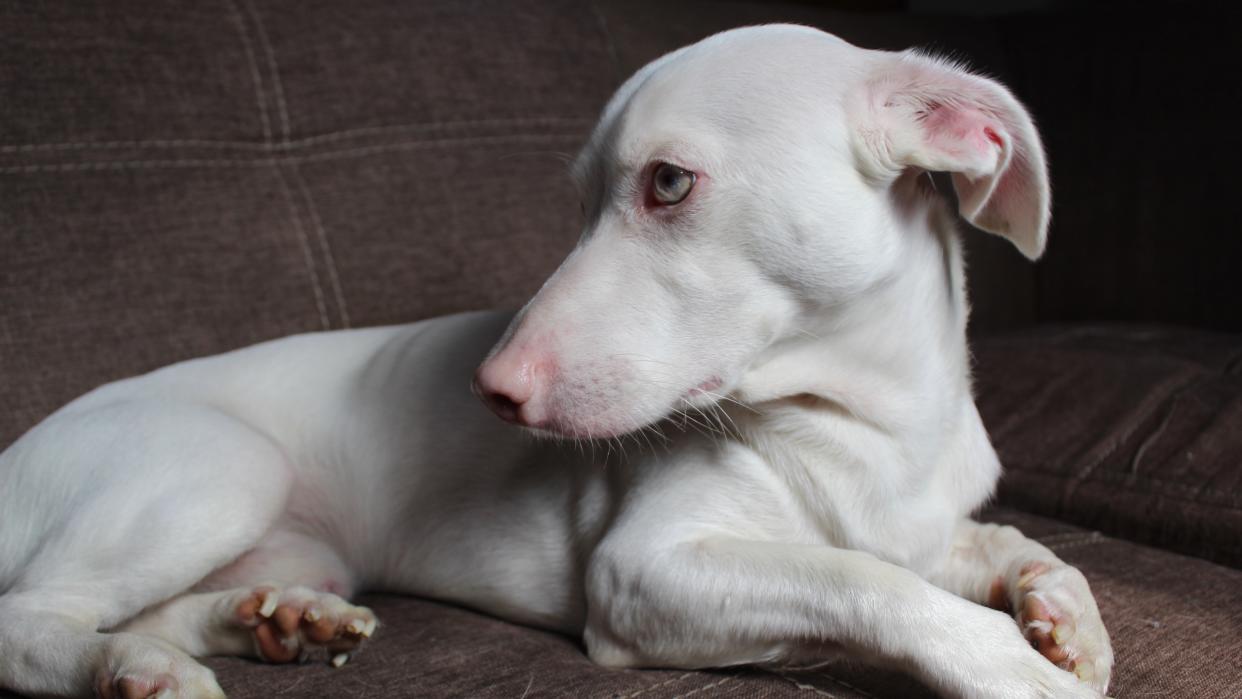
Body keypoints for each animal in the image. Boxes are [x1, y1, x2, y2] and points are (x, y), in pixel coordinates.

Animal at [0, 24, 1117, 699]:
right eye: (582, 199)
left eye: (667, 182)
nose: (489, 392)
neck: (868, 423)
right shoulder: (645, 573)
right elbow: (862, 580)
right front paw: (1010, 663)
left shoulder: (924, 522)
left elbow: (992, 543)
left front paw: (1061, 611)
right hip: (217, 471)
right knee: (30, 618)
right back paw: (135, 667)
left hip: (281, 540)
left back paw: (273, 622)